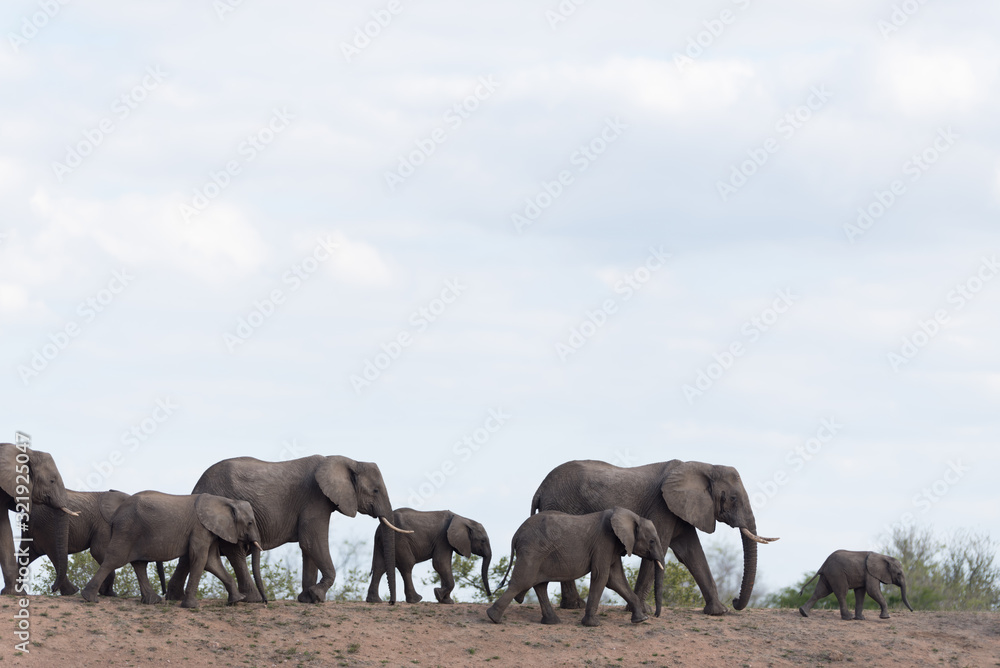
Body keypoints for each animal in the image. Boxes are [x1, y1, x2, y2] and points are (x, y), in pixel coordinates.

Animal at [80, 491, 267, 608]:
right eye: (250, 522)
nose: (265, 602)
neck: (225, 500)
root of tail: (115, 515)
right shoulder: (200, 528)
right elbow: (199, 559)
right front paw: (191, 607)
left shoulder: (210, 530)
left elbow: (211, 561)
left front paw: (236, 601)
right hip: (127, 529)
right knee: (114, 559)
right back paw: (89, 598)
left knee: (139, 564)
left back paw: (153, 601)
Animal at [166, 455, 411, 604]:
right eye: (376, 490)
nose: (390, 602)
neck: (348, 460)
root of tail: (197, 486)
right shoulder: (315, 498)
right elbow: (312, 540)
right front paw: (317, 596)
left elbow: (308, 548)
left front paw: (307, 599)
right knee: (235, 553)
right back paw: (253, 599)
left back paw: (173, 597)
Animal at [486, 508, 666, 627]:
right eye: (651, 541)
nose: (656, 615)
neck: (632, 516)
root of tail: (515, 534)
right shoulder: (604, 543)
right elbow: (602, 576)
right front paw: (592, 624)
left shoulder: (614, 546)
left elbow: (616, 580)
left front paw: (641, 620)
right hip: (532, 550)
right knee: (522, 581)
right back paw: (493, 618)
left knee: (539, 584)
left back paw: (552, 622)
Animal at [531, 460, 778, 616]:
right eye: (733, 498)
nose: (735, 601)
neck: (704, 467)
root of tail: (540, 489)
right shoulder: (663, 506)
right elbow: (662, 549)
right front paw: (641, 611)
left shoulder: (681, 510)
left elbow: (692, 553)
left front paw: (718, 612)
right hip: (562, 507)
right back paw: (575, 606)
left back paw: (573, 606)